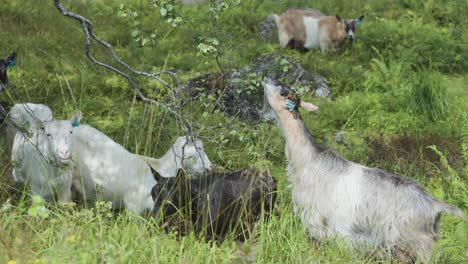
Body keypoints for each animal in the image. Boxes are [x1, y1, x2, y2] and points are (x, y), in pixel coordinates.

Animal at [264, 77, 464, 262]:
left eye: (283, 91)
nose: (266, 79)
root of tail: (434, 204)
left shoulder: (315, 217)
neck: (308, 158)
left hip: (416, 239)